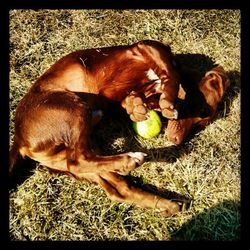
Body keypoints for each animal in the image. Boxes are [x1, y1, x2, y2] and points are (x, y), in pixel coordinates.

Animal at [10, 40, 182, 215]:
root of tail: (19, 139)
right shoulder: (147, 47)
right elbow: (172, 75)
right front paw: (166, 102)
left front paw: (138, 107)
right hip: (75, 108)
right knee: (77, 161)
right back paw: (131, 159)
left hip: (78, 149)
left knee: (117, 188)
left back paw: (166, 205)